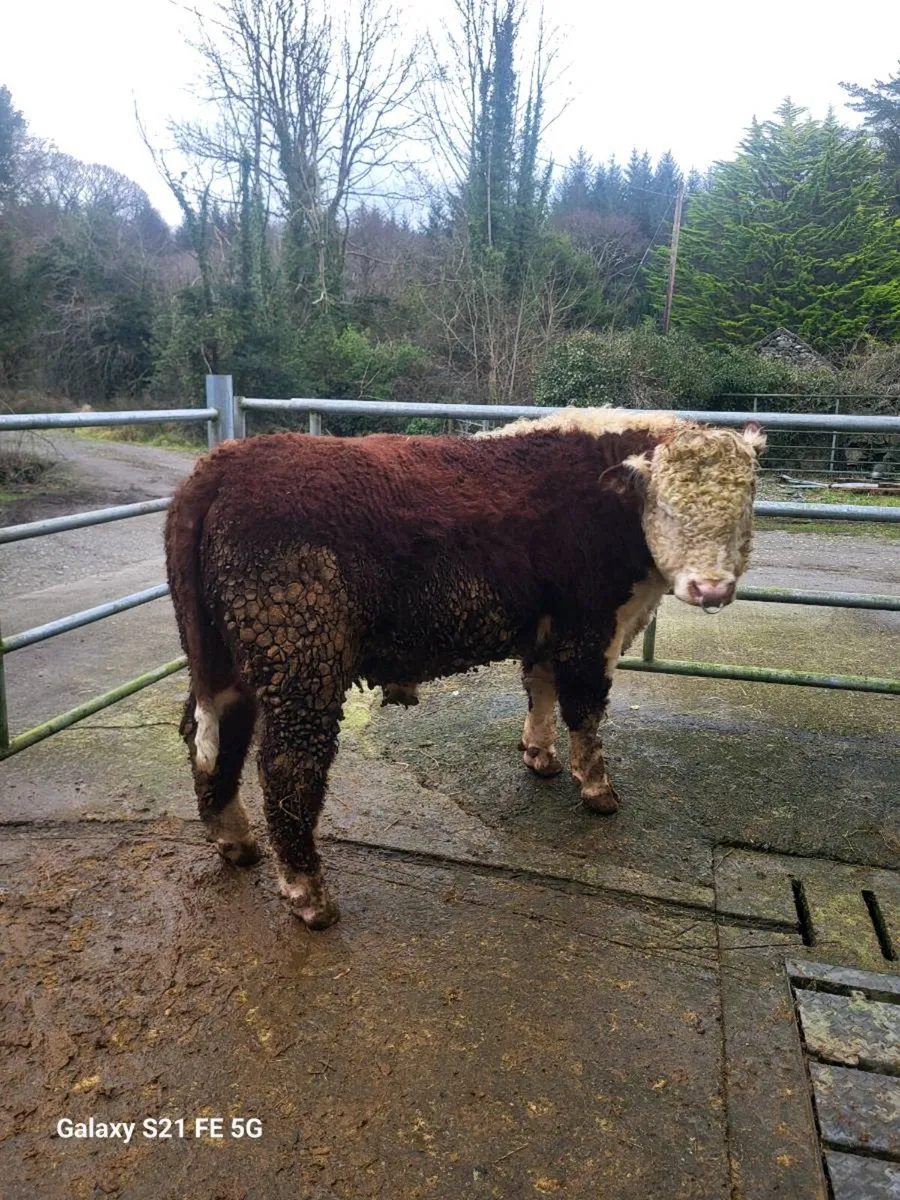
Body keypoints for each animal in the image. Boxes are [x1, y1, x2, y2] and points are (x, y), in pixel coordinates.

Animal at [165, 407, 765, 929]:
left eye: (746, 504)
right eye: (667, 508)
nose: (711, 588)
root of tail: (230, 459)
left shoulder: (546, 625)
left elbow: (540, 688)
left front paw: (539, 755)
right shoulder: (590, 624)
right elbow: (585, 707)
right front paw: (597, 789)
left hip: (226, 658)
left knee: (209, 731)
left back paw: (236, 842)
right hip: (300, 655)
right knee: (287, 765)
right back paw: (309, 897)